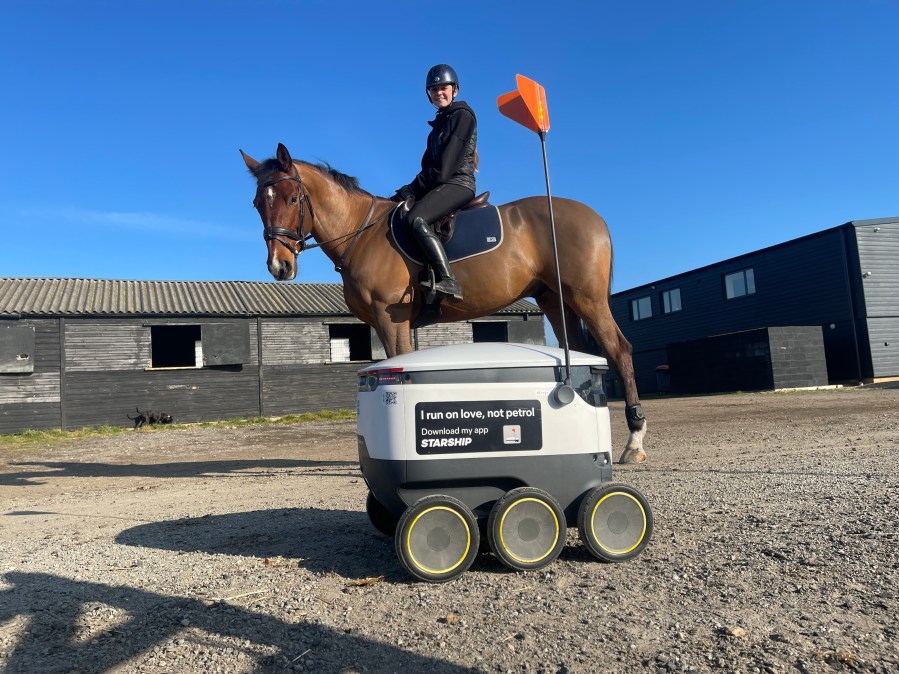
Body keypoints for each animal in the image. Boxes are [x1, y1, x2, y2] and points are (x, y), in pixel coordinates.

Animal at [239, 140, 648, 456]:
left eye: (293, 198)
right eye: (258, 203)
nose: (279, 266)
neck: (362, 233)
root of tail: (593, 216)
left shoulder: (392, 318)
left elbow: (398, 366)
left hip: (587, 298)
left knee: (620, 350)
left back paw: (634, 439)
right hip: (555, 300)